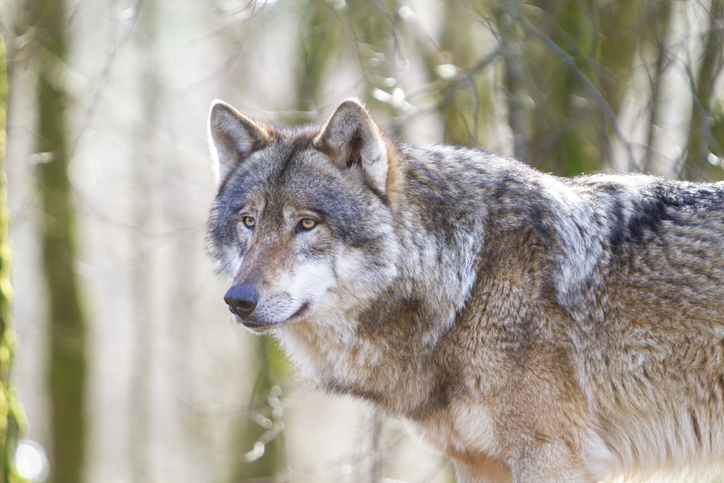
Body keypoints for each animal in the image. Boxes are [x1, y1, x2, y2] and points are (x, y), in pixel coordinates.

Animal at [205, 98, 724, 483]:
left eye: (306, 224)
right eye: (249, 222)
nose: (238, 300)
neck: (465, 280)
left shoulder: (551, 455)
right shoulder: (475, 460)